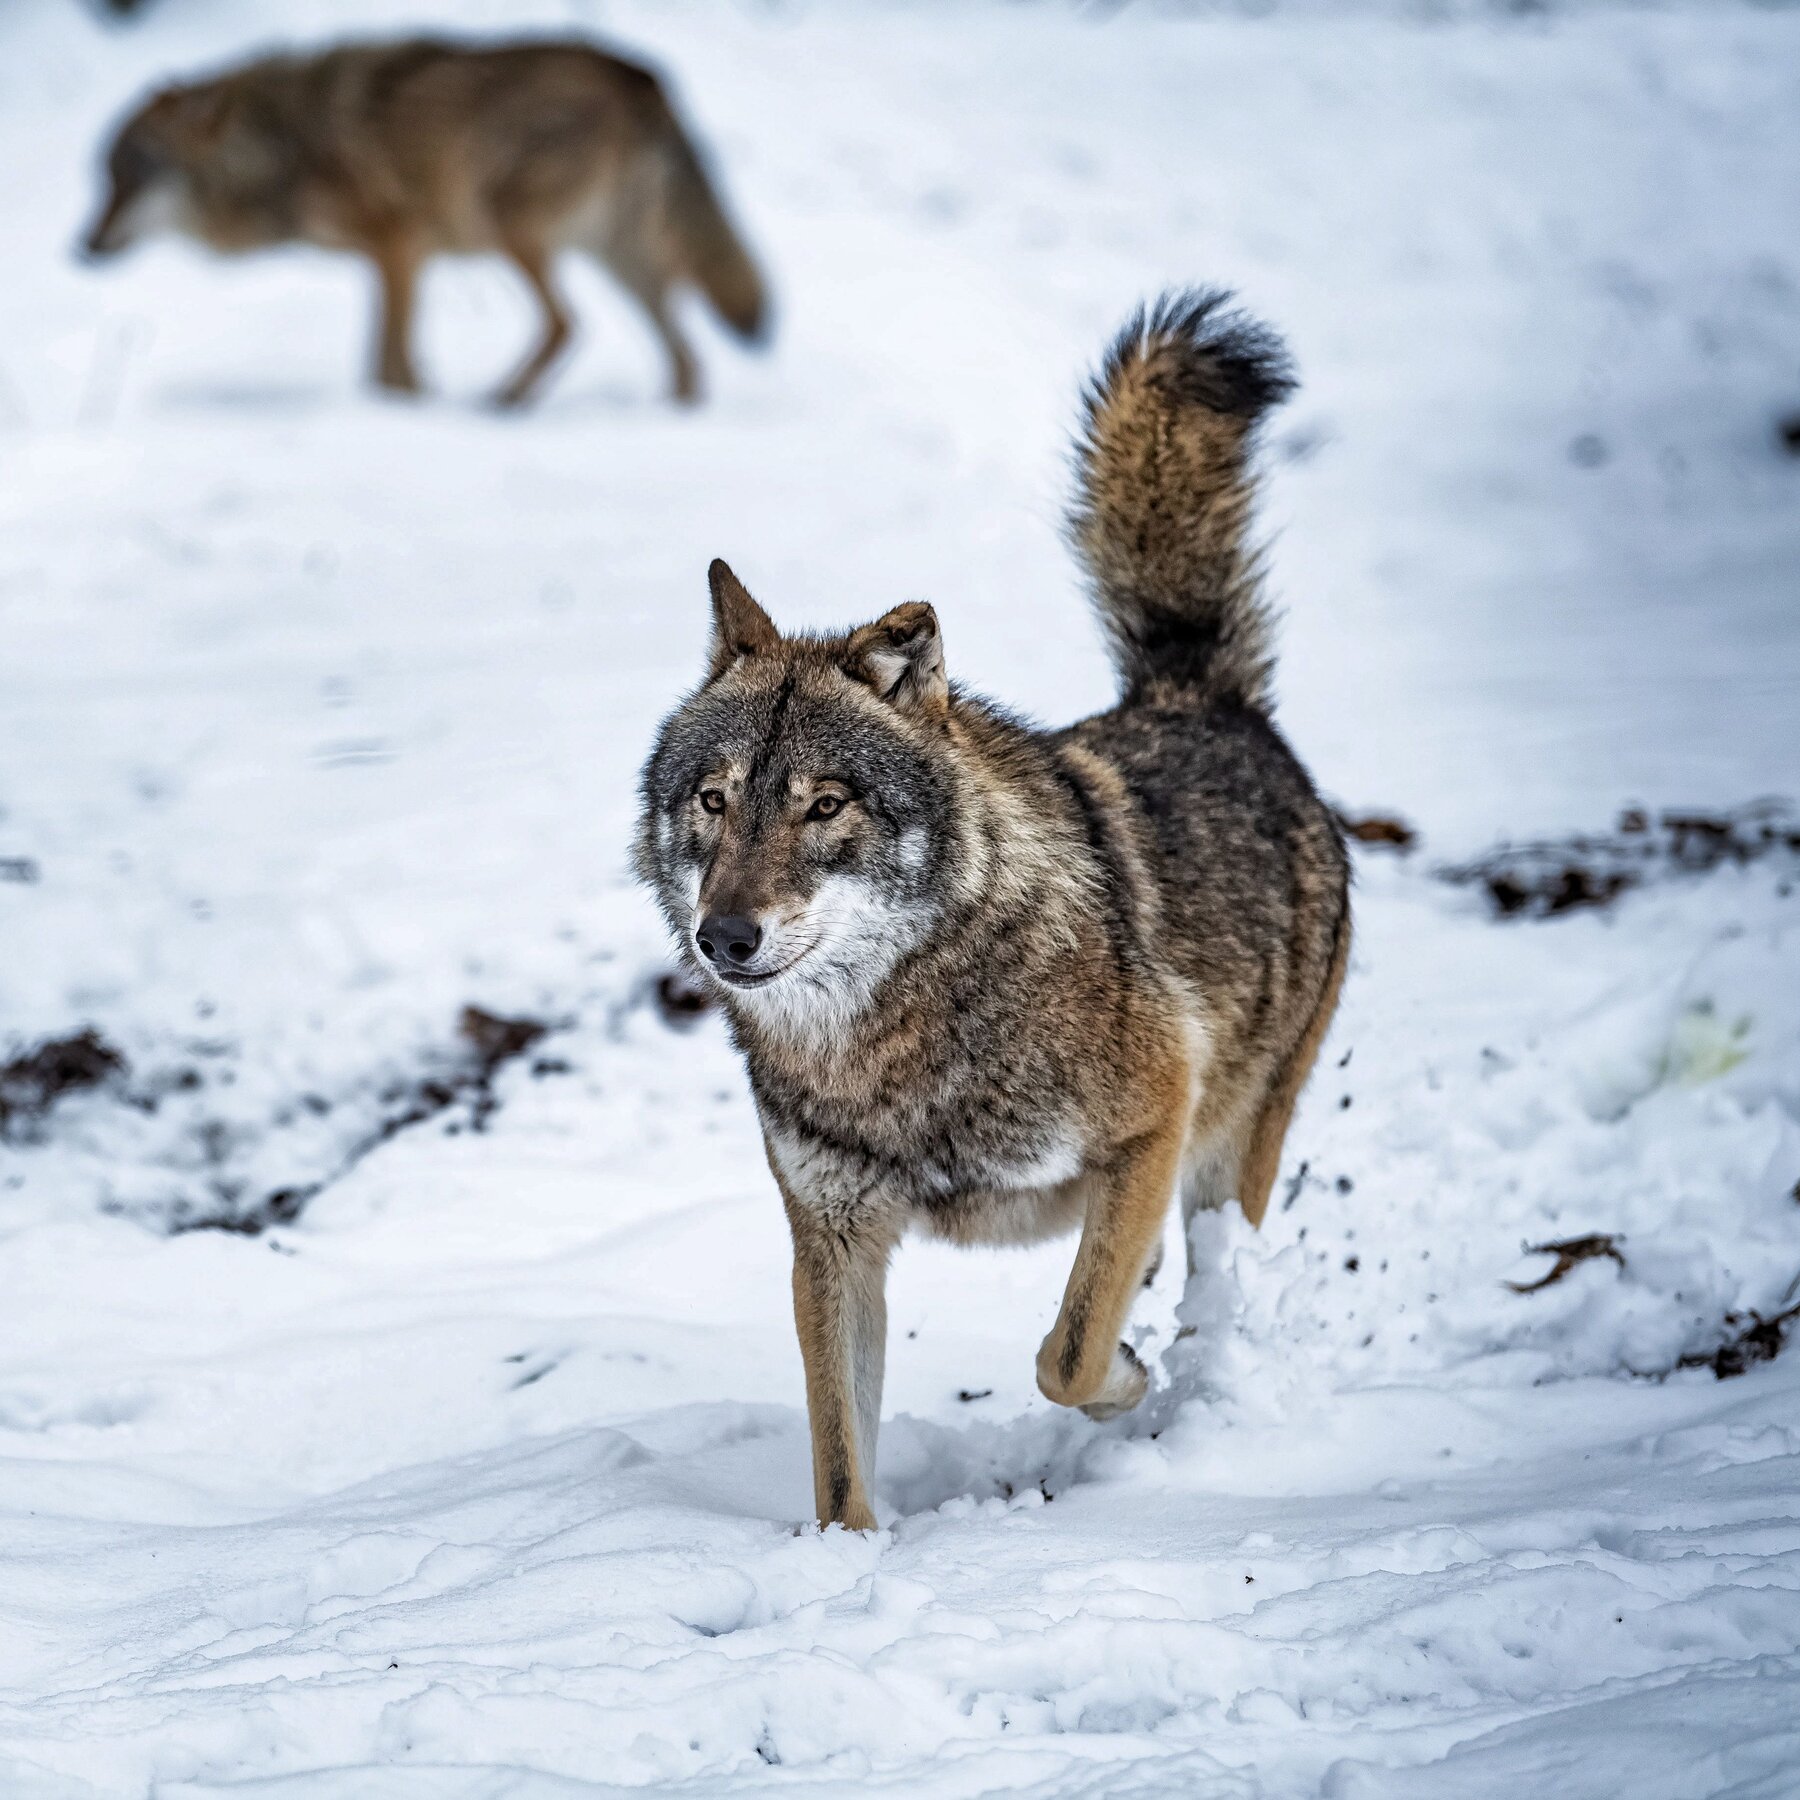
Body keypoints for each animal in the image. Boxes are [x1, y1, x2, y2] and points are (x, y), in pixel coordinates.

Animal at [82, 38, 768, 407]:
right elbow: (396, 360)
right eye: (103, 179)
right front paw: (420, 399)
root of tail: (644, 79)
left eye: (128, 177)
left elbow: (385, 365)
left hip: (507, 222)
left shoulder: (399, 245)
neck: (284, 146)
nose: (82, 247)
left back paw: (499, 404)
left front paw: (406, 409)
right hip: (617, 259)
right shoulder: (399, 260)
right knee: (685, 361)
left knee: (565, 323)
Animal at [637, 292, 1350, 1530]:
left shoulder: (1157, 1113)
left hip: (1228, 1151)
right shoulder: (833, 1242)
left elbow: (1065, 1356)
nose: (725, 938)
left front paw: (1128, 1382)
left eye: (825, 804)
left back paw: (1197, 1376)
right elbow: (840, 1464)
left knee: (1203, 1274)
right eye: (714, 802)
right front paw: (845, 1559)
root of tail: (1197, 697)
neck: (896, 1044)